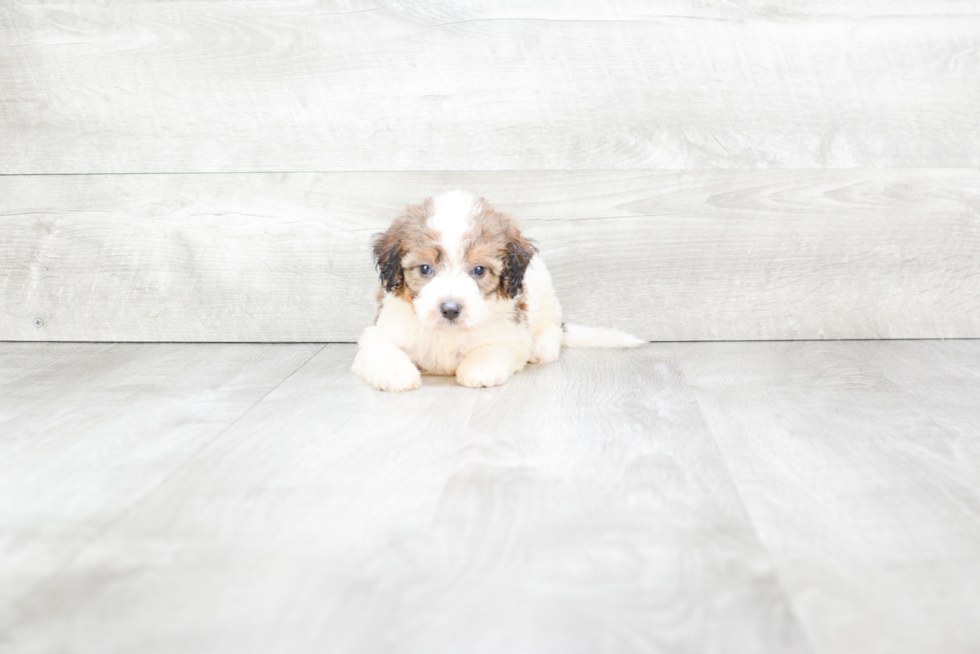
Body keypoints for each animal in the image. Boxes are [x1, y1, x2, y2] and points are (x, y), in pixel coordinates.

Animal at [352, 191, 644, 394]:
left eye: (479, 270)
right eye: (424, 268)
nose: (450, 309)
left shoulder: (510, 335)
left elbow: (492, 349)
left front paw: (479, 368)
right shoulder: (380, 331)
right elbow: (383, 350)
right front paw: (396, 374)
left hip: (543, 291)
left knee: (551, 329)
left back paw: (543, 348)